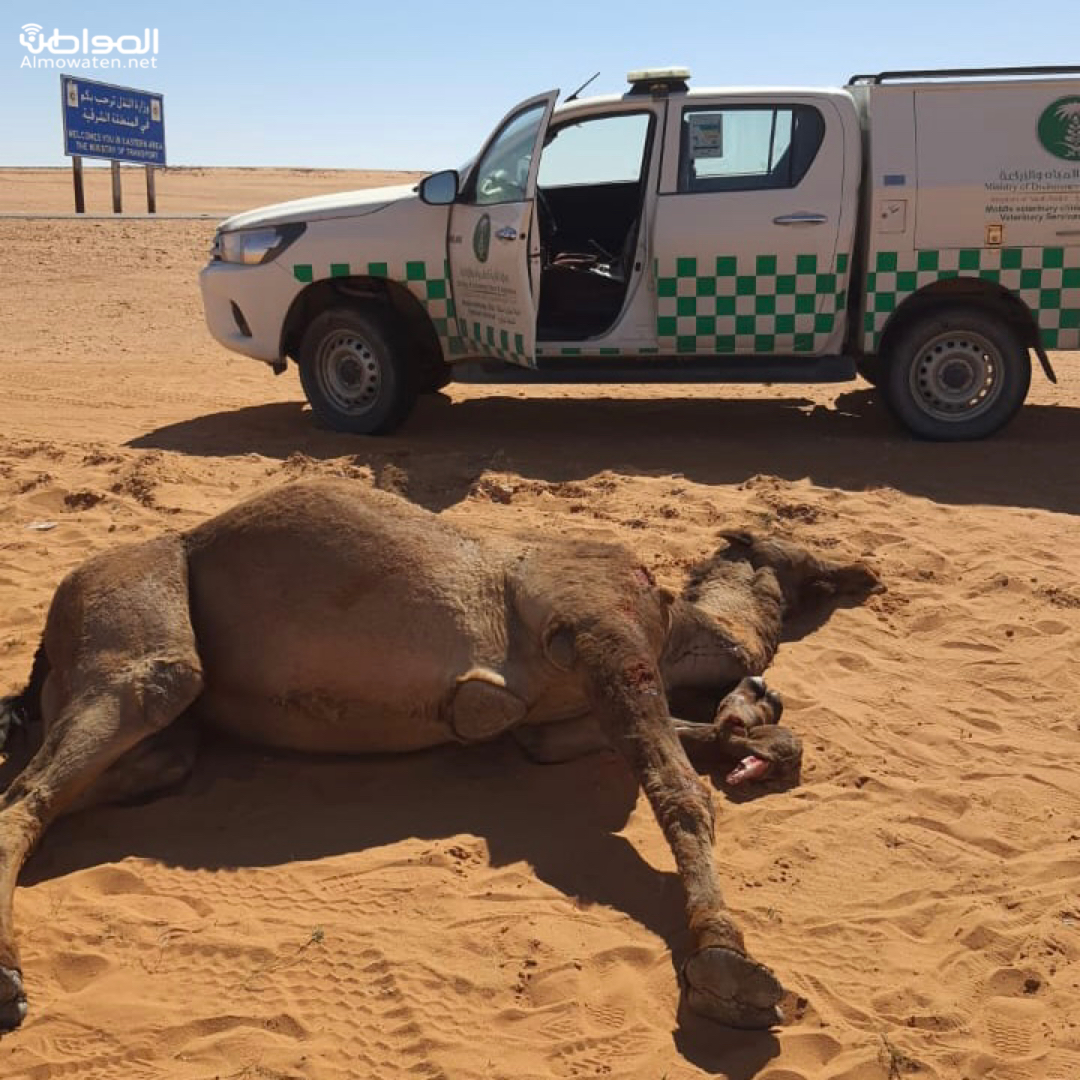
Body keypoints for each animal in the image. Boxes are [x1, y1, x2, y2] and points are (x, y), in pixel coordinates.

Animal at [0, 479, 876, 1028]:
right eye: (801, 553)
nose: (865, 569)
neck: (673, 620)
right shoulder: (600, 628)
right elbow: (676, 789)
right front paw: (726, 964)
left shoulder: (555, 723)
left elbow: (629, 745)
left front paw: (755, 736)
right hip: (143, 636)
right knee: (36, 790)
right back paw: (8, 980)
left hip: (166, 726)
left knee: (128, 768)